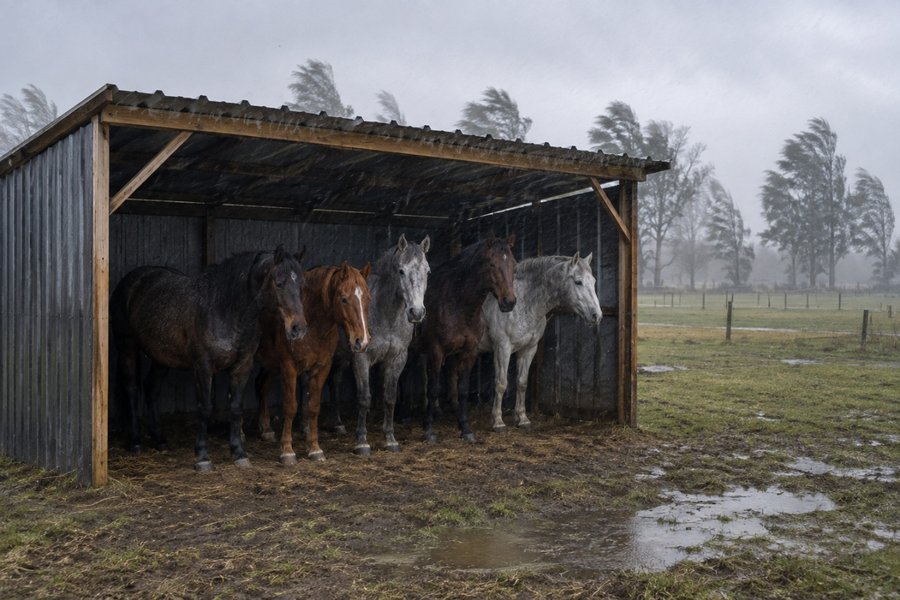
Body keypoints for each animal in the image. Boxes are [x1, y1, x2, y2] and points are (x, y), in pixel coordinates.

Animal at [111, 247, 307, 471]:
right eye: (279, 282)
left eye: (302, 284)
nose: (298, 328)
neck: (224, 308)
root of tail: (132, 280)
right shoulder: (203, 366)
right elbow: (204, 408)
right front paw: (202, 457)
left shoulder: (243, 366)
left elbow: (235, 407)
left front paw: (239, 453)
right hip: (127, 347)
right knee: (132, 389)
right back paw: (135, 442)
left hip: (161, 357)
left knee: (152, 388)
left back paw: (160, 440)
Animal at [255, 261, 371, 463]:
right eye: (344, 299)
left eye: (368, 299)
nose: (361, 341)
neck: (312, 324)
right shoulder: (289, 367)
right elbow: (290, 406)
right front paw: (287, 451)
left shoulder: (321, 368)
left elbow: (313, 407)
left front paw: (315, 448)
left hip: (271, 365)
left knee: (262, 386)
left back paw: (266, 429)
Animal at [327, 234, 431, 455]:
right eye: (401, 270)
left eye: (427, 271)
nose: (416, 312)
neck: (387, 314)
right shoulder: (362, 357)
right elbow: (364, 398)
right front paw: (362, 441)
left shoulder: (397, 359)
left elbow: (390, 397)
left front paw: (390, 439)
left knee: (335, 381)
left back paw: (338, 423)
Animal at [418, 232, 517, 444]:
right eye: (491, 264)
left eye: (514, 264)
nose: (509, 302)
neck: (458, 305)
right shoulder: (436, 351)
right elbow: (433, 388)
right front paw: (429, 430)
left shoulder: (469, 351)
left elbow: (462, 389)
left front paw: (466, 429)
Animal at [479, 253, 602, 431]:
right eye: (578, 282)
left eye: (593, 281)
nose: (596, 316)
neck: (523, 302)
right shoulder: (502, 348)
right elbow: (501, 383)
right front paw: (498, 421)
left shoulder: (529, 348)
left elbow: (522, 382)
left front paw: (522, 419)